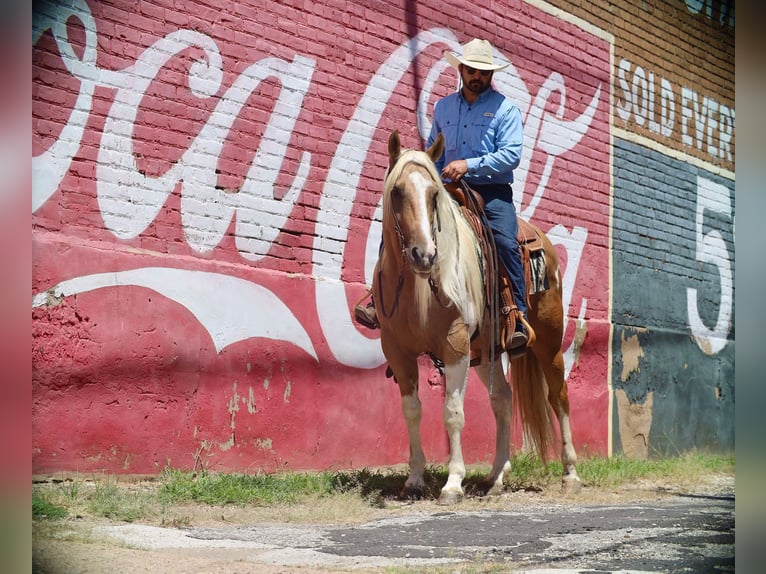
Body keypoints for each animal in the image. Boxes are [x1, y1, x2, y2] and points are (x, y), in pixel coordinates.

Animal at [374, 130, 584, 504]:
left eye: (433, 194)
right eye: (397, 191)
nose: (424, 255)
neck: (420, 290)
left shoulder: (455, 346)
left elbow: (453, 413)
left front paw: (453, 483)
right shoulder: (397, 351)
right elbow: (412, 411)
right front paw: (414, 480)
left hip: (548, 343)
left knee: (558, 397)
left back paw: (570, 473)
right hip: (487, 353)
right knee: (502, 400)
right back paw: (496, 475)